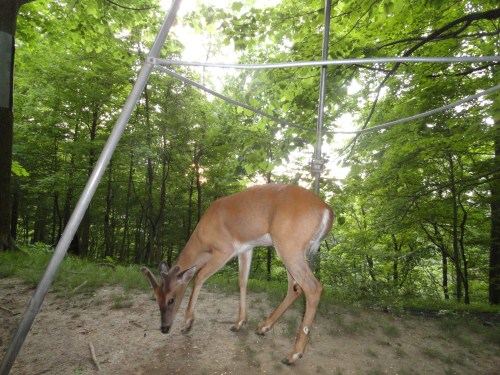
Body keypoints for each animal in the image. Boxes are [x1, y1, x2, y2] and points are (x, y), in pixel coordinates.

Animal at [141, 184, 334, 366]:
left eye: (171, 300)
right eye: (155, 298)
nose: (164, 328)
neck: (203, 239)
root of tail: (327, 210)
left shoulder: (225, 248)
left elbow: (199, 276)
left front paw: (187, 323)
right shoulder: (246, 248)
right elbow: (242, 281)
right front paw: (239, 323)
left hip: (289, 245)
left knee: (313, 287)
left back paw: (293, 355)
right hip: (290, 249)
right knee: (295, 288)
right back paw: (264, 327)